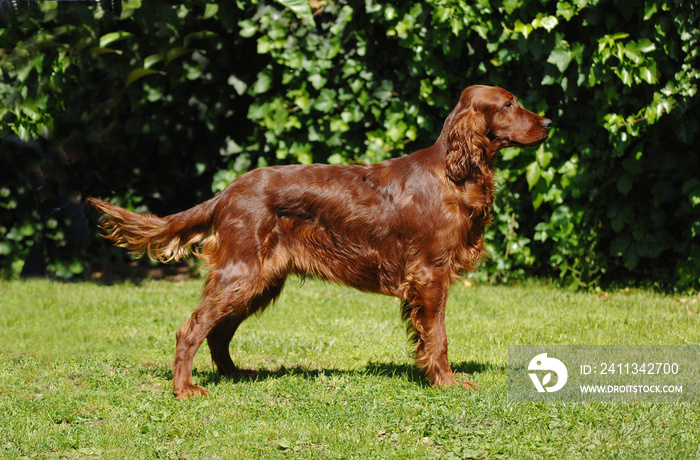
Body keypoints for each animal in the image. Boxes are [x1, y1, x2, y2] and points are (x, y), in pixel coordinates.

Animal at [87, 84, 548, 398]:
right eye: (508, 104)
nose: (548, 122)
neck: (451, 173)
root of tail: (227, 192)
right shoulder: (430, 274)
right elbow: (438, 336)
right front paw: (448, 382)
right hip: (243, 274)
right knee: (192, 328)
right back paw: (185, 389)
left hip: (261, 280)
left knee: (218, 331)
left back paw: (235, 376)